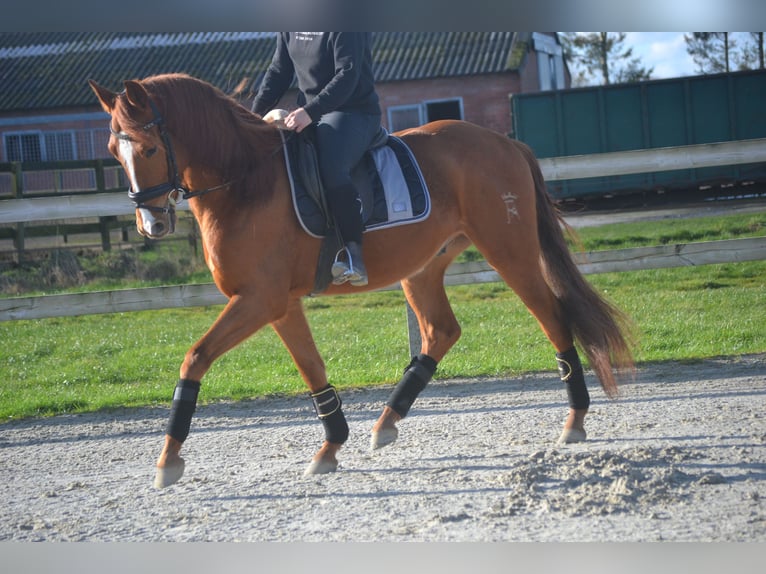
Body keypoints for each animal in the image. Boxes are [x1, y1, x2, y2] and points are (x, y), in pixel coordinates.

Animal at [88, 73, 636, 490]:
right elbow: (311, 369)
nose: (151, 224)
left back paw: (574, 422)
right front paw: (330, 447)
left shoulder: (258, 300)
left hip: (510, 253)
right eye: (114, 149)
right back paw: (386, 423)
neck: (245, 181)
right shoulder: (279, 304)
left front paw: (167, 463)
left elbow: (195, 357)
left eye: (150, 148)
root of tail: (504, 141)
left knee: (553, 317)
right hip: (422, 269)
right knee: (441, 331)